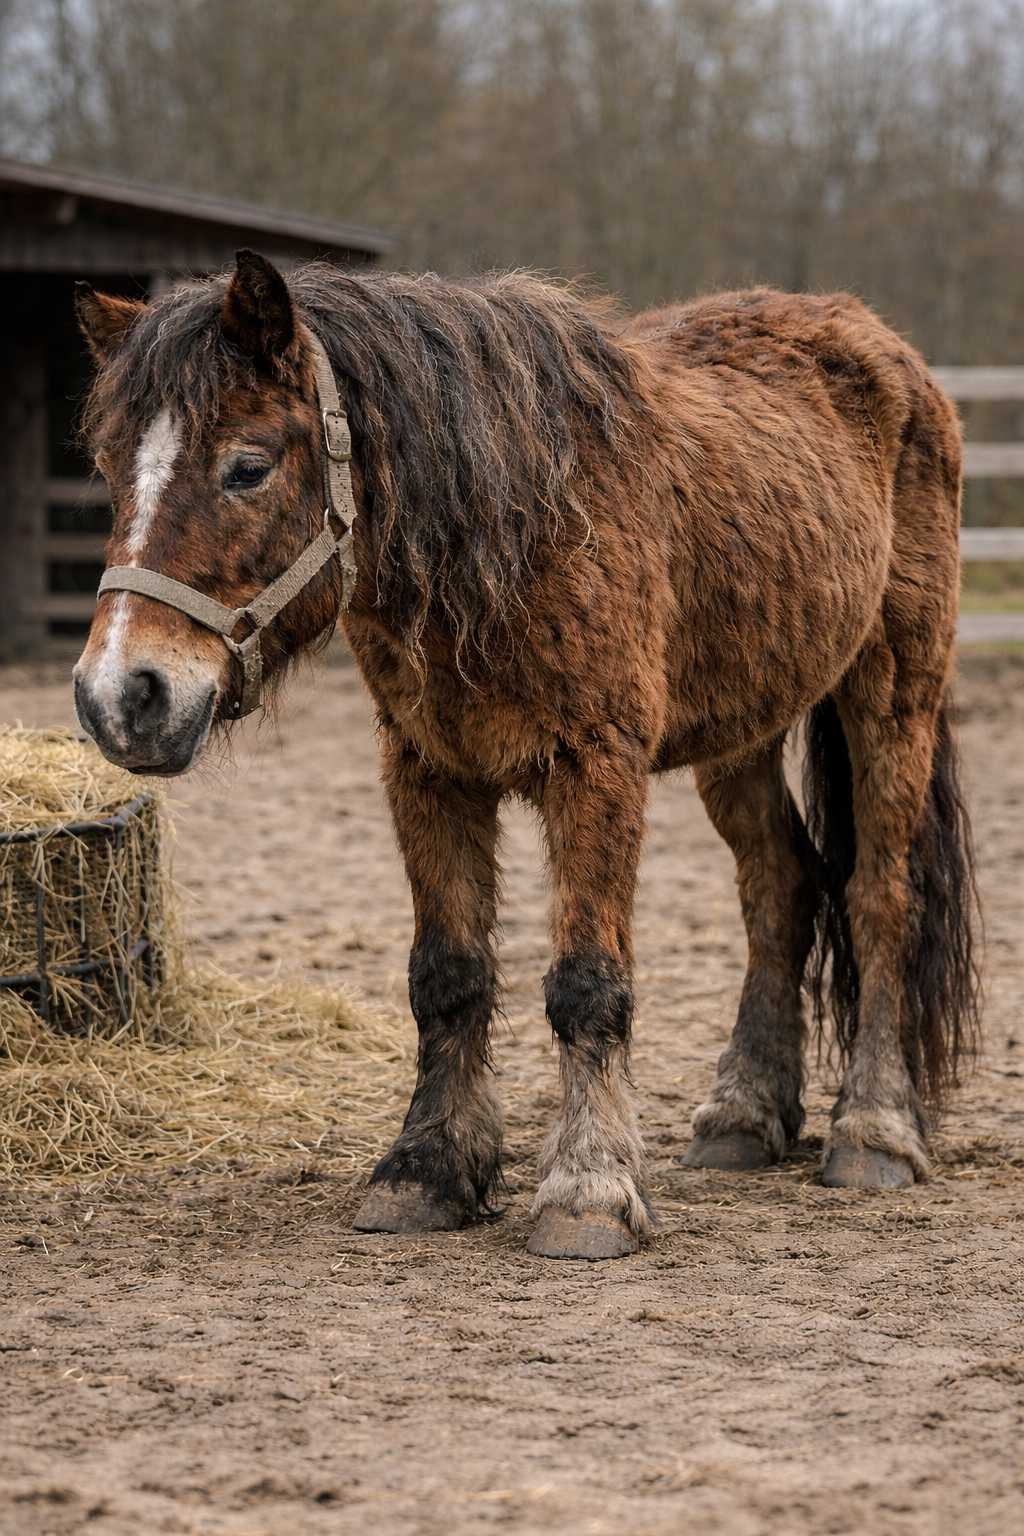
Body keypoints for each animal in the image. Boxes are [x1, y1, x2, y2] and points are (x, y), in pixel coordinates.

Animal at [73, 251, 979, 1260]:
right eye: (108, 467)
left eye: (247, 466)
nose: (122, 696)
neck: (514, 523)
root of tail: (881, 343)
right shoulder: (426, 769)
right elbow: (447, 975)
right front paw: (427, 1171)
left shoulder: (597, 768)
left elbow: (587, 984)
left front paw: (589, 1191)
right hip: (744, 730)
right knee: (779, 889)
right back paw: (744, 1118)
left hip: (892, 692)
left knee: (878, 896)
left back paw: (875, 1132)